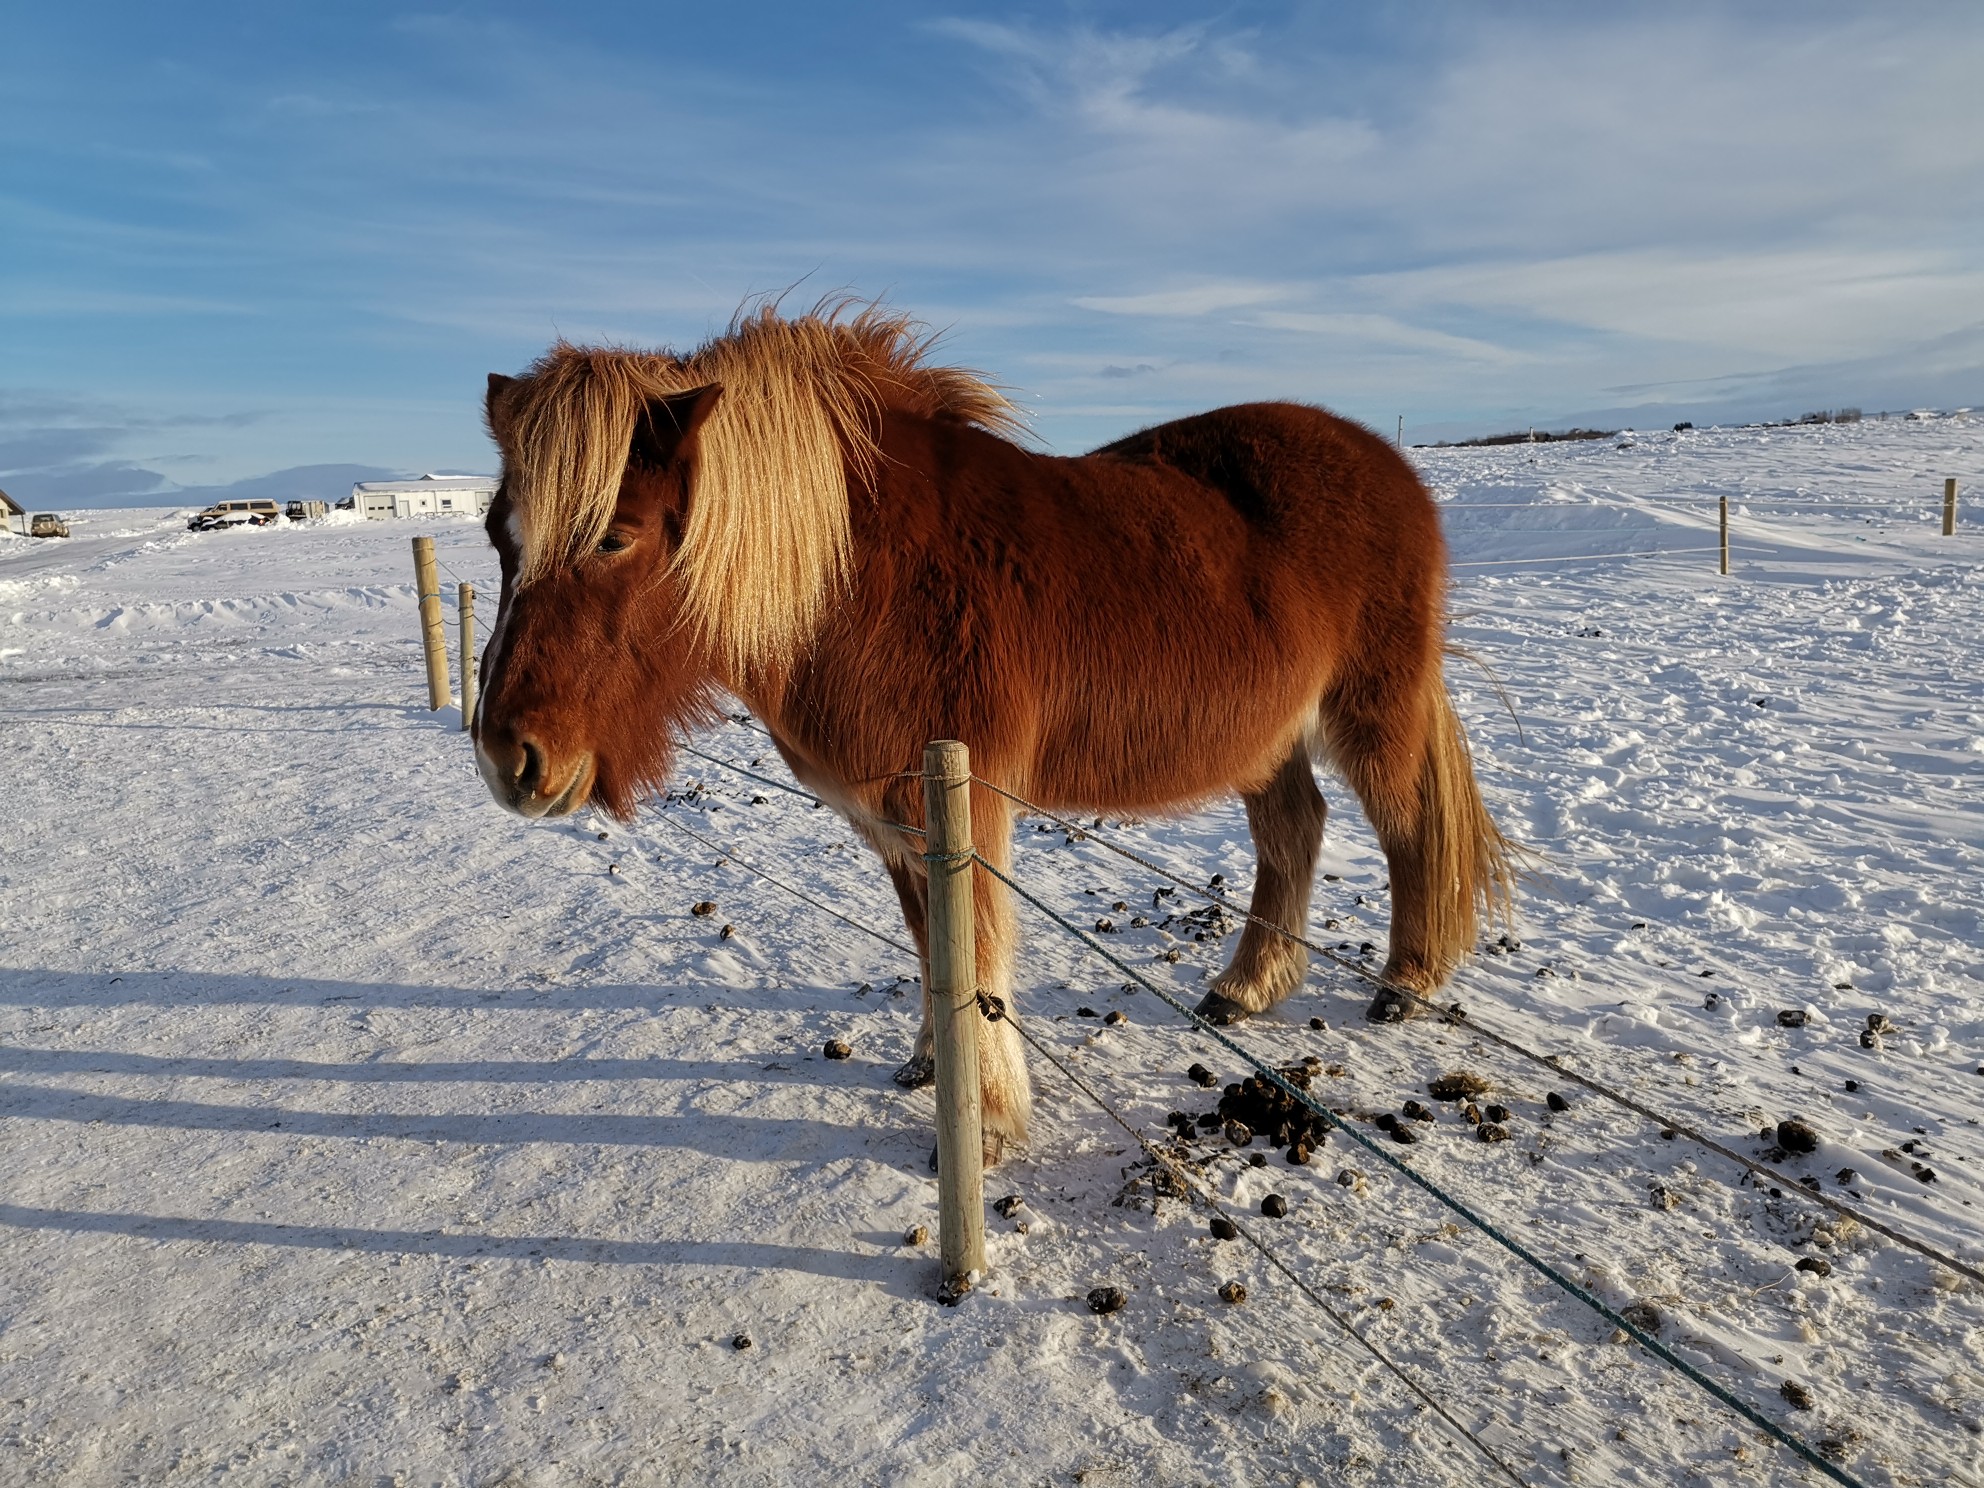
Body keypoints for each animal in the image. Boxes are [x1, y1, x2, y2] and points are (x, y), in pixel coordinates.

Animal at [472, 305, 1507, 1166]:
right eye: (495, 533)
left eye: (615, 535)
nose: (506, 758)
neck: (860, 576)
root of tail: (1383, 460)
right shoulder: (900, 818)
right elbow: (934, 947)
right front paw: (934, 1066)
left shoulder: (963, 805)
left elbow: (973, 955)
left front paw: (989, 1121)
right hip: (1267, 738)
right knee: (1293, 829)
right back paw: (1245, 988)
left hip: (1369, 709)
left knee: (1410, 824)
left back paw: (1404, 982)